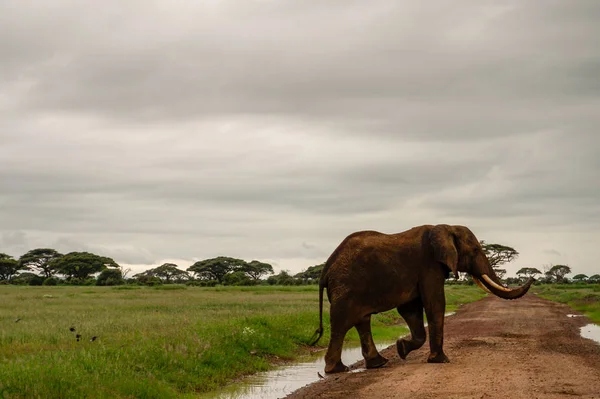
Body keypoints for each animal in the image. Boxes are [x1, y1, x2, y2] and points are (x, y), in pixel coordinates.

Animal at [310, 225, 536, 376]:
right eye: (475, 251)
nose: (532, 278)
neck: (446, 227)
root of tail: (325, 270)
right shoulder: (429, 265)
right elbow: (435, 304)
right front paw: (441, 361)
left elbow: (411, 310)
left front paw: (401, 348)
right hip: (345, 287)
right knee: (341, 324)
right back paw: (336, 370)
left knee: (362, 322)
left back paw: (378, 364)